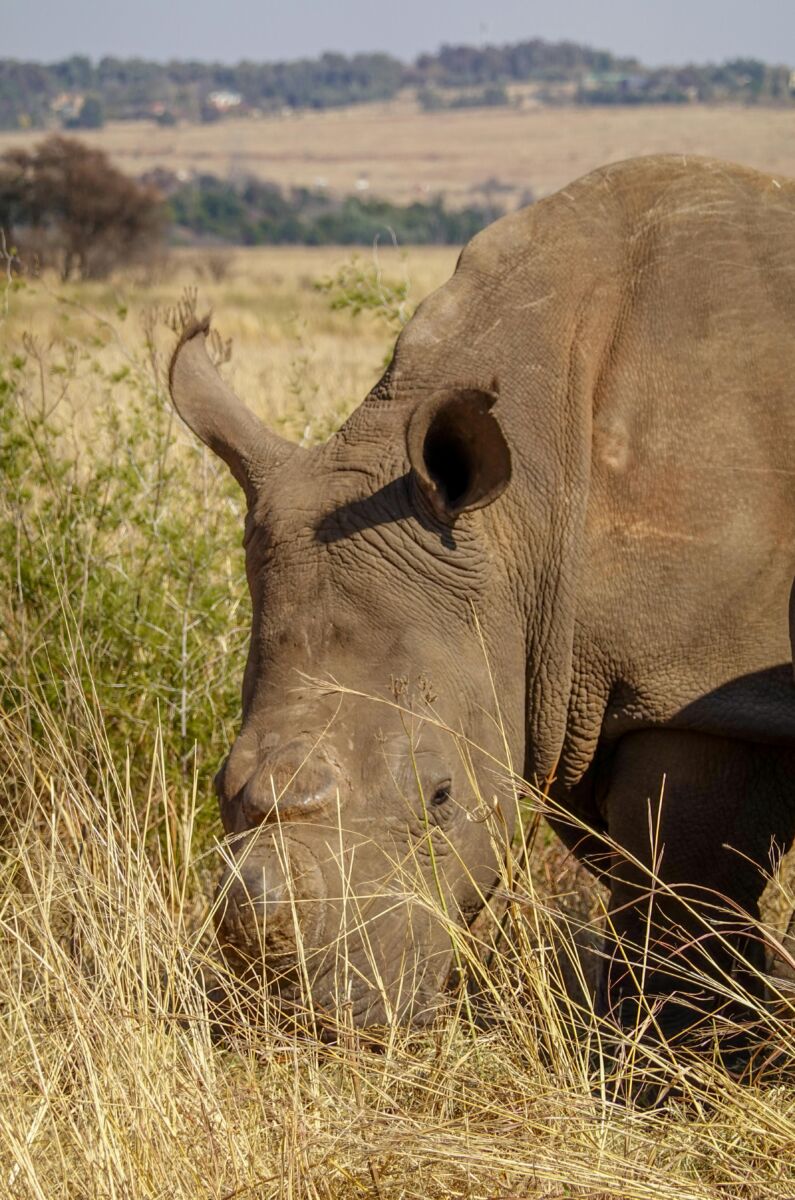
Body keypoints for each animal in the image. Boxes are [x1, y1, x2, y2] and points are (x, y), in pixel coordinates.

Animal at [169, 155, 795, 1042]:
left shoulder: (695, 686)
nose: (311, 1027)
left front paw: (683, 1061)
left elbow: (684, 898)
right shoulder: (565, 677)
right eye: (222, 785)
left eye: (440, 797)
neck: (529, 512)